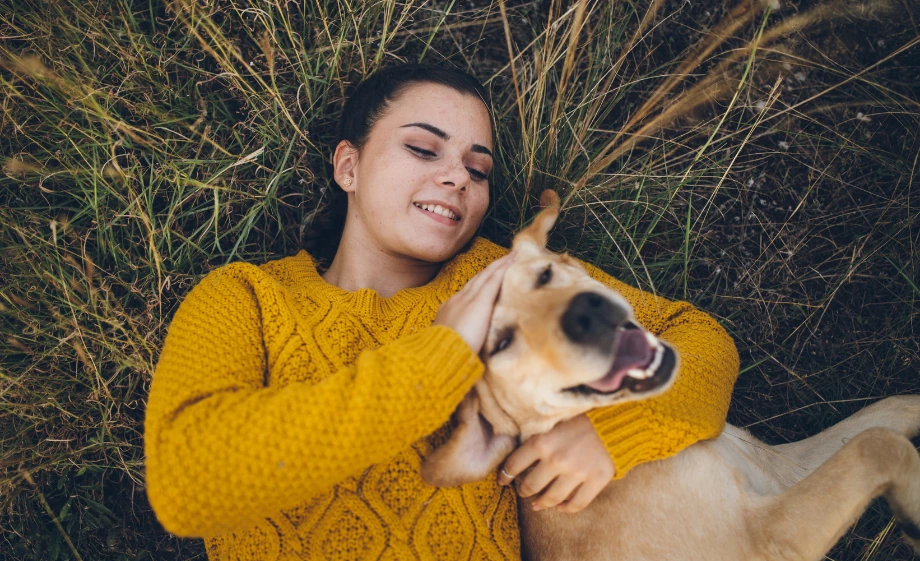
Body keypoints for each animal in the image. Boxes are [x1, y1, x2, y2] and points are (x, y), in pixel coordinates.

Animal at [420, 191, 920, 560]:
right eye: (502, 344)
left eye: (545, 274)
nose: (584, 315)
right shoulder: (771, 535)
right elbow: (880, 445)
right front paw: (913, 511)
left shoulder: (779, 468)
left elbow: (889, 412)